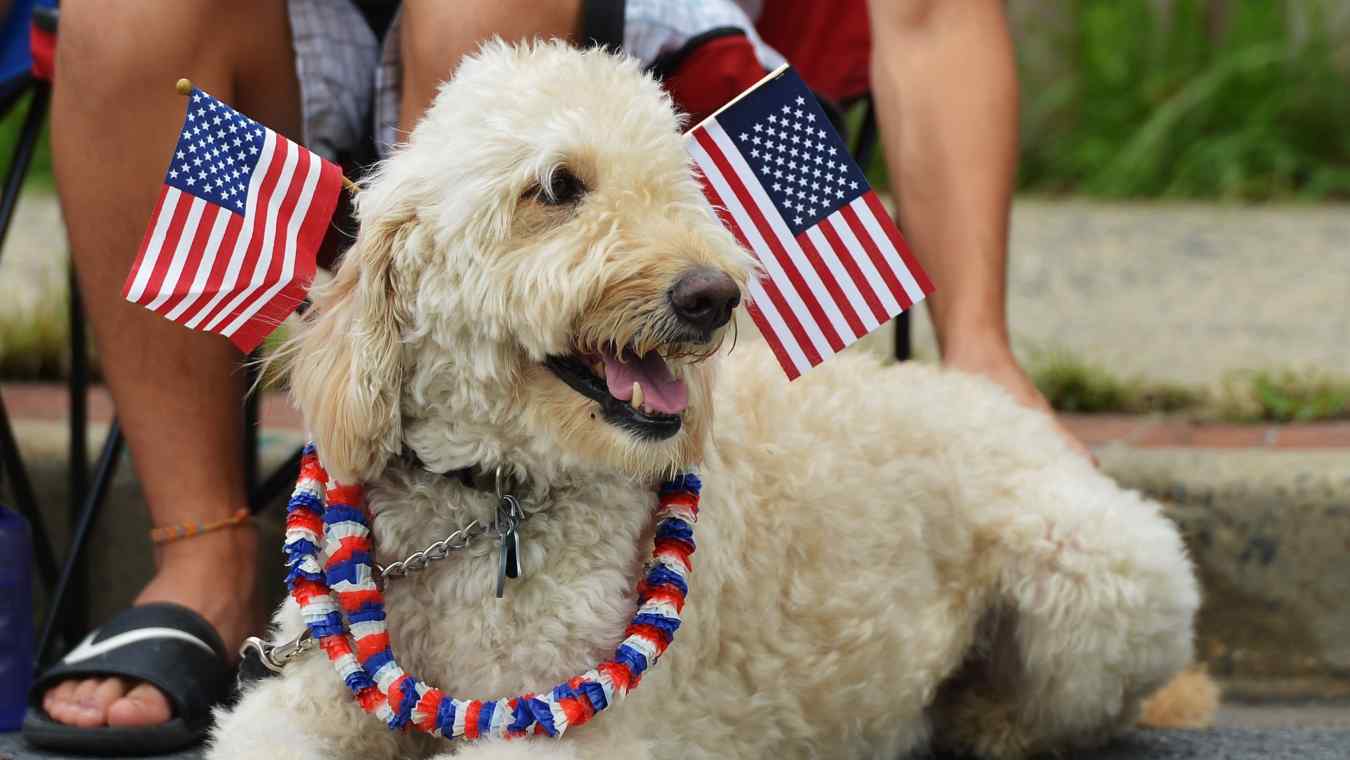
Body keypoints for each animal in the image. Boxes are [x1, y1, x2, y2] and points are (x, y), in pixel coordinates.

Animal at [210, 41, 1204, 760]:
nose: (712, 295)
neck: (487, 503)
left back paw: (981, 723)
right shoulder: (302, 699)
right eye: (557, 186)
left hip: (1102, 578)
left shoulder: (575, 736)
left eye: (677, 185)